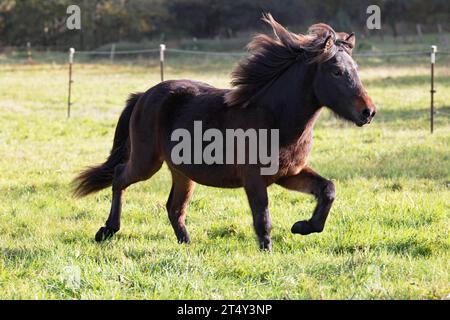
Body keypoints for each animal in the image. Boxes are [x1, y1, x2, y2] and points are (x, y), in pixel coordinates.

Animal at [74, 14, 376, 250]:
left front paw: (302, 226)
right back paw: (107, 231)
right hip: (146, 161)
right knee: (119, 177)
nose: (368, 112)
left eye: (356, 69)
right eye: (336, 71)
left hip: (182, 172)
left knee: (174, 207)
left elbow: (328, 189)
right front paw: (268, 252)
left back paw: (187, 245)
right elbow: (263, 218)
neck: (275, 118)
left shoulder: (289, 173)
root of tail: (143, 96)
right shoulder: (254, 179)